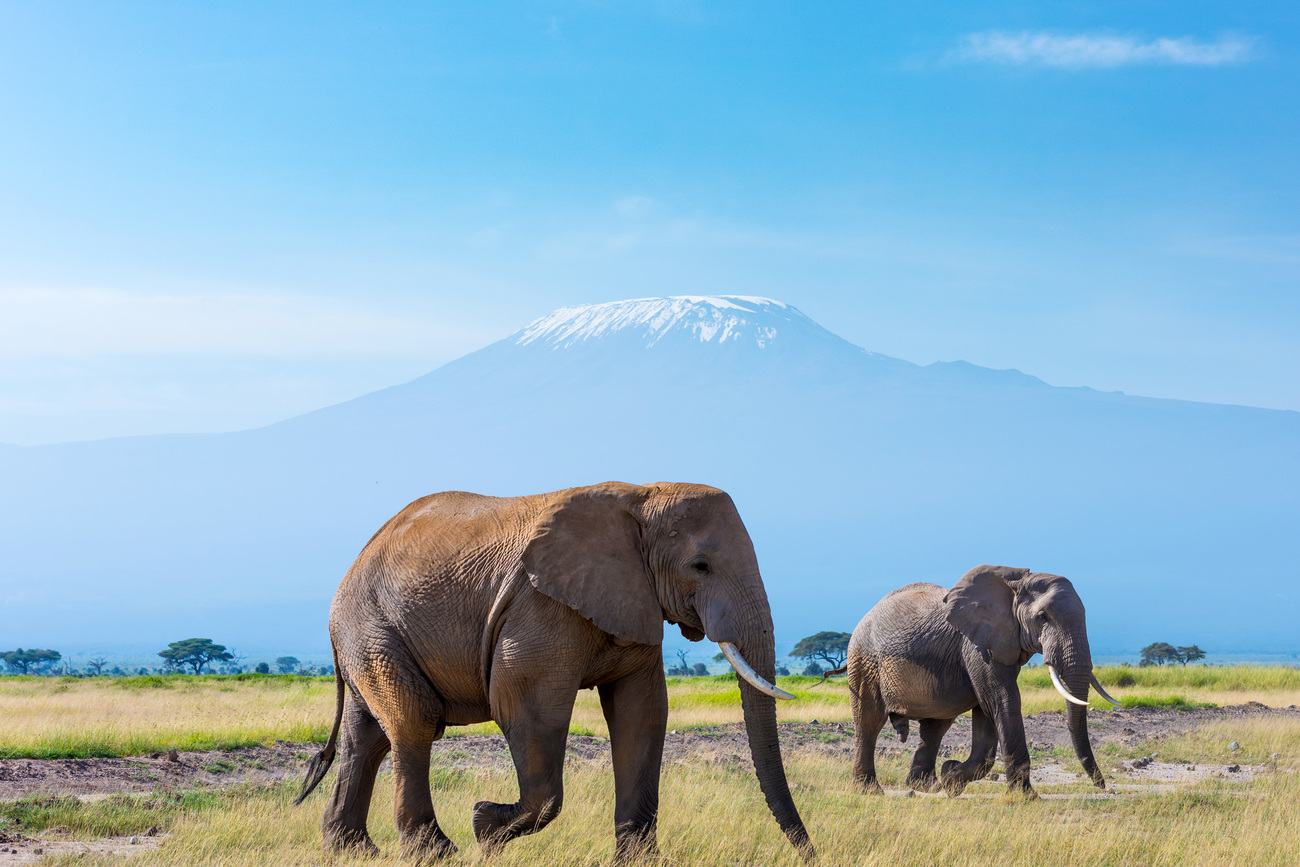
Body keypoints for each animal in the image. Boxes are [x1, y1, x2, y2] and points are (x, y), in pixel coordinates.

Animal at [295, 480, 811, 863]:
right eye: (700, 566)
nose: (810, 853)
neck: (641, 496)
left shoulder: (634, 600)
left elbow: (641, 713)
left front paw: (639, 862)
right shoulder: (541, 608)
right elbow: (529, 708)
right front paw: (485, 827)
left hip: (372, 635)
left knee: (367, 737)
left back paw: (352, 851)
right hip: (371, 626)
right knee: (413, 723)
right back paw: (436, 854)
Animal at [837, 566, 1123, 795]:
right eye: (1042, 617)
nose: (1102, 786)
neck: (1015, 581)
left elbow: (988, 710)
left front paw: (951, 778)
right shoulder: (975, 645)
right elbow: (1003, 700)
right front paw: (1025, 798)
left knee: (935, 726)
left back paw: (926, 786)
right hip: (865, 659)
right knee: (869, 721)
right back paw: (870, 790)